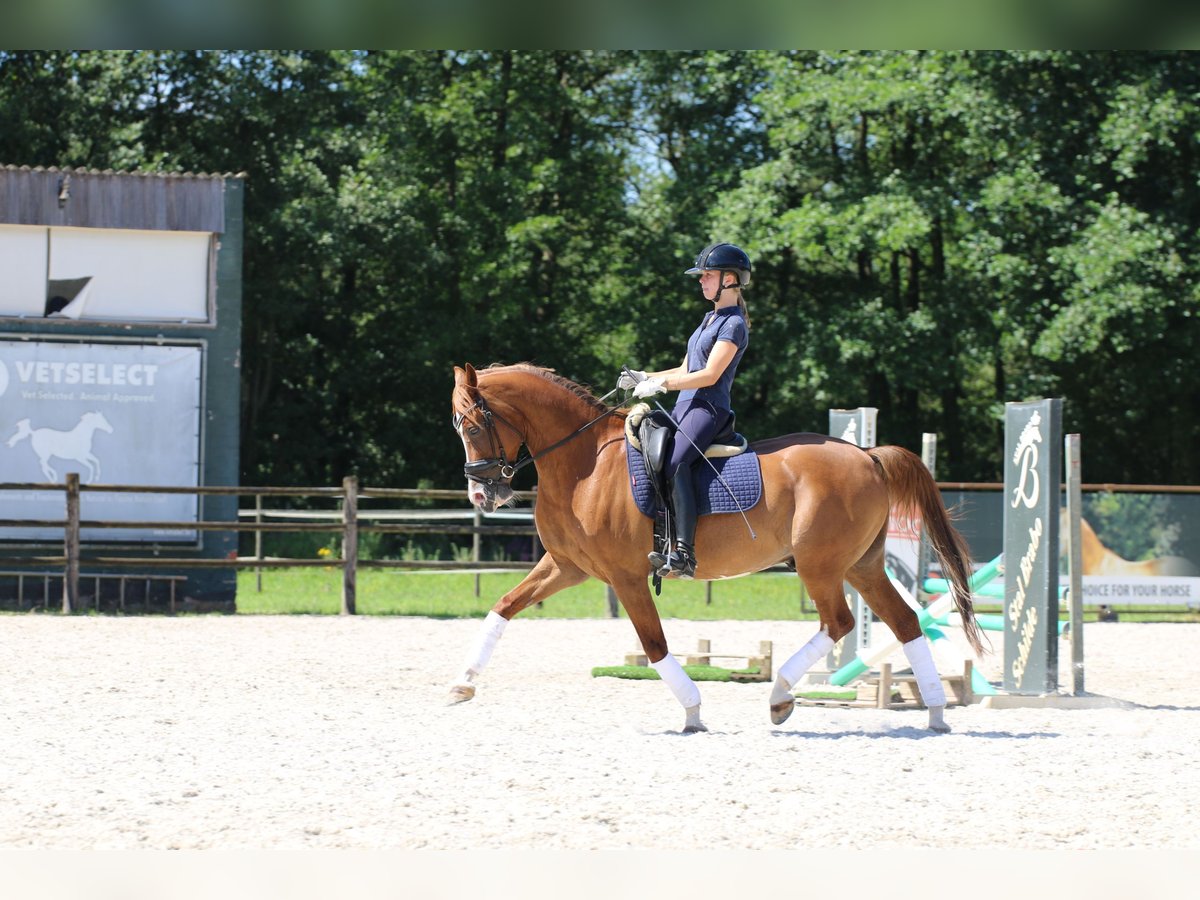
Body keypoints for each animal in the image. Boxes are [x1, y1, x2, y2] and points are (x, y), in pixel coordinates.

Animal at [446, 362, 979, 734]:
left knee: (840, 623)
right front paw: (462, 683)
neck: (584, 464)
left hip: (820, 566)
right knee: (905, 623)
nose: (481, 495)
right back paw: (935, 713)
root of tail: (866, 455)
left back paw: (780, 696)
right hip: (861, 566)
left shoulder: (625, 577)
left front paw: (693, 712)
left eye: (470, 426)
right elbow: (504, 606)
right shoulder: (566, 566)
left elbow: (655, 645)